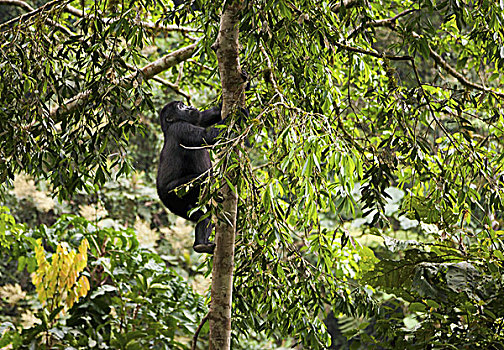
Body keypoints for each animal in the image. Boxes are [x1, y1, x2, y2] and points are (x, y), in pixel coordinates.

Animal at [158, 101, 226, 254]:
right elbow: (208, 136)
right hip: (173, 192)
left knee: (201, 215)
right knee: (202, 179)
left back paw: (200, 245)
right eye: (180, 107)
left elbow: (205, 116)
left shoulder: (194, 119)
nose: (189, 107)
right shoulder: (181, 128)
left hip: (177, 207)